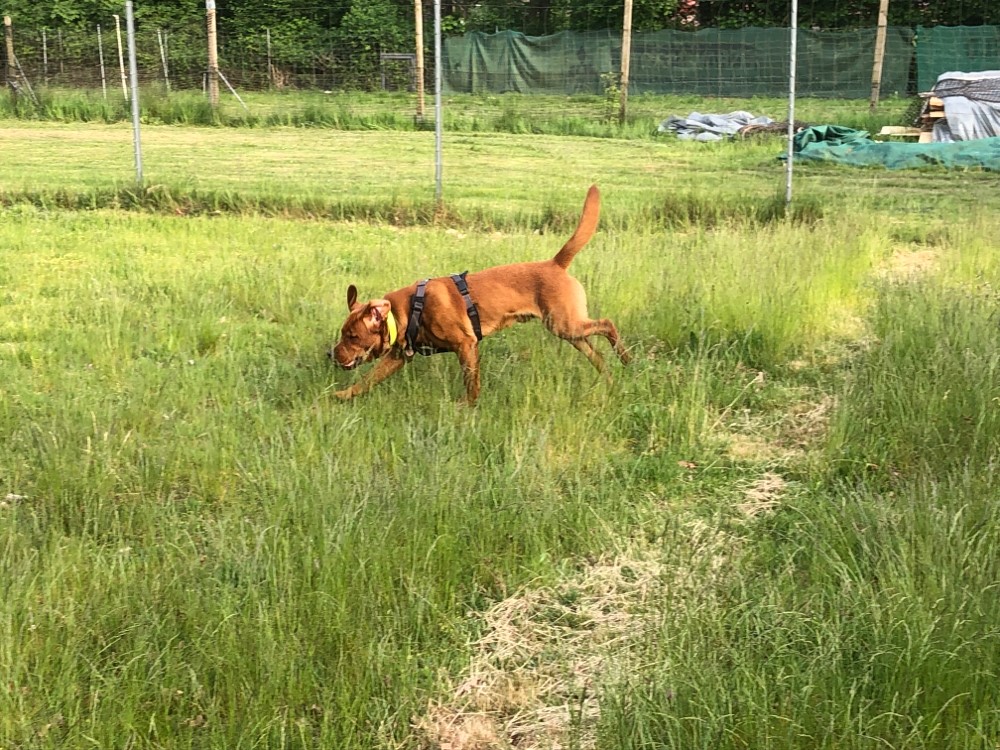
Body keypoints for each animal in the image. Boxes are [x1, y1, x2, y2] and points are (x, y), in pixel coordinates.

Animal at [330, 184, 624, 406]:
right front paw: (342, 395)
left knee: (608, 324)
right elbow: (367, 380)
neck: (411, 309)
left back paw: (625, 358)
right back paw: (610, 377)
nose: (330, 355)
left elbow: (471, 383)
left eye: (352, 336)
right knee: (596, 352)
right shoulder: (397, 357)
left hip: (565, 324)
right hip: (570, 331)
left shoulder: (466, 345)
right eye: (344, 334)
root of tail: (555, 263)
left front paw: (467, 407)